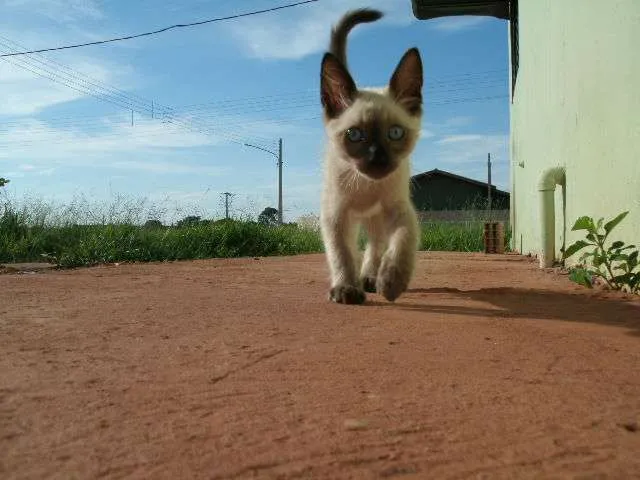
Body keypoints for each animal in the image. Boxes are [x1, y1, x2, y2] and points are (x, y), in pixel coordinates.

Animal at [318, 7, 420, 304]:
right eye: (354, 135)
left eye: (395, 133)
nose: (377, 159)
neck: (366, 185)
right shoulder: (336, 214)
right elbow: (341, 253)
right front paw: (346, 288)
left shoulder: (400, 209)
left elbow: (402, 241)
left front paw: (392, 282)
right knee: (360, 247)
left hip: (377, 218)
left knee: (375, 245)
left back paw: (372, 278)